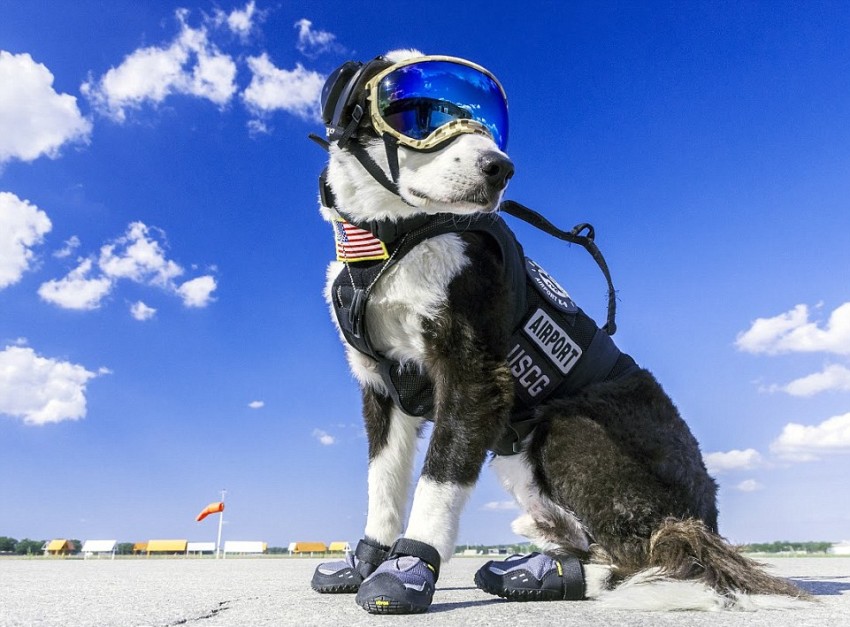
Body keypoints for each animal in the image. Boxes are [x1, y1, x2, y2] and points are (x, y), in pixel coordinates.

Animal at [308, 47, 804, 612]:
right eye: (418, 114)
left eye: (489, 123)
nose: (500, 167)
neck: (392, 238)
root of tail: (708, 521)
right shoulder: (382, 387)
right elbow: (383, 482)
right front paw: (366, 559)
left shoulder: (474, 379)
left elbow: (437, 480)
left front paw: (407, 568)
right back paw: (539, 569)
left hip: (567, 428)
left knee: (655, 555)